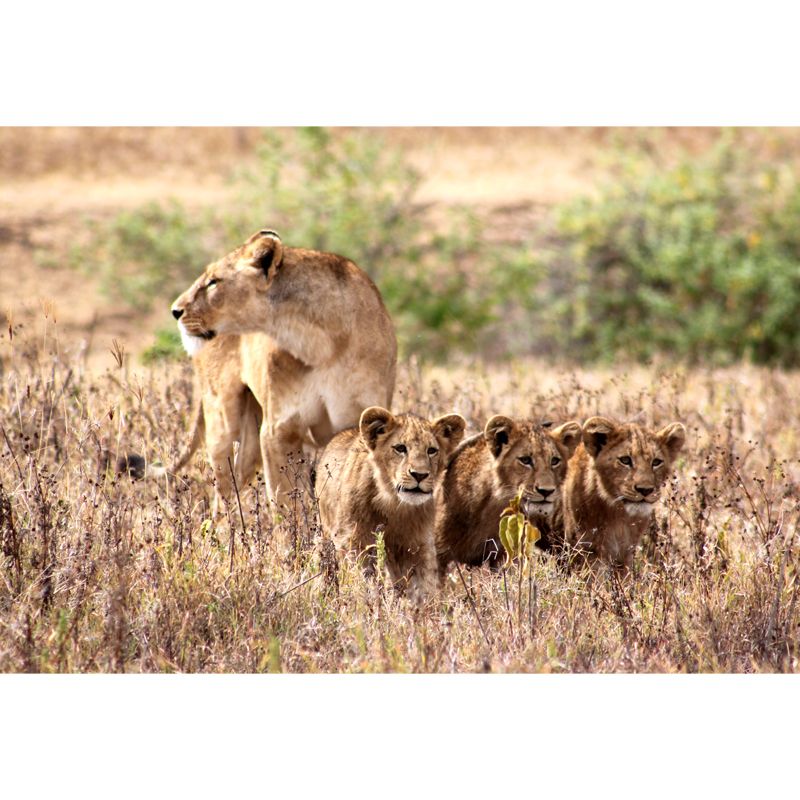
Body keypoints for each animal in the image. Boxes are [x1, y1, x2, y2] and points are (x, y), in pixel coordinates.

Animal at [170, 230, 397, 509]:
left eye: (214, 281)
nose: (175, 311)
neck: (322, 343)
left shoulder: (358, 423)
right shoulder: (279, 429)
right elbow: (288, 502)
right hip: (221, 419)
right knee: (222, 492)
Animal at [316, 406, 466, 603]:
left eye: (432, 450)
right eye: (400, 448)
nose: (419, 475)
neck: (394, 505)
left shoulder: (418, 545)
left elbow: (424, 584)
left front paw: (424, 608)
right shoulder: (353, 540)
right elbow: (364, 579)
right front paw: (370, 603)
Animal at [562, 416, 686, 572]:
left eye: (656, 462)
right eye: (625, 460)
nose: (645, 490)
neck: (617, 515)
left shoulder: (625, 554)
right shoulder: (584, 551)